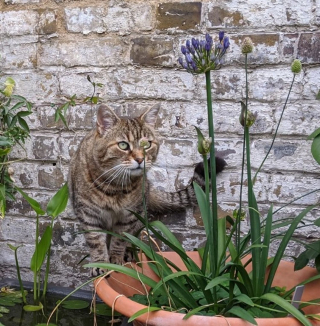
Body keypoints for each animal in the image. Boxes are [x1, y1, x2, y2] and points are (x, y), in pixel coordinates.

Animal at [69, 104, 226, 276]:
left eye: (147, 145)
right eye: (123, 145)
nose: (140, 159)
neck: (115, 186)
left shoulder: (129, 216)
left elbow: (120, 240)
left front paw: (116, 260)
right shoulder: (88, 215)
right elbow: (96, 241)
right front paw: (101, 264)